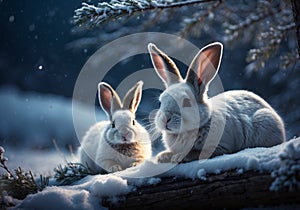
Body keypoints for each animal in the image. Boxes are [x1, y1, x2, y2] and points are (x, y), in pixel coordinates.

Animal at [148, 41, 286, 163]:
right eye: (160, 102)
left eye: (186, 102)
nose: (165, 119)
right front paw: (162, 157)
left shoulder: (220, 147)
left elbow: (196, 153)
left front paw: (178, 157)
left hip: (264, 120)